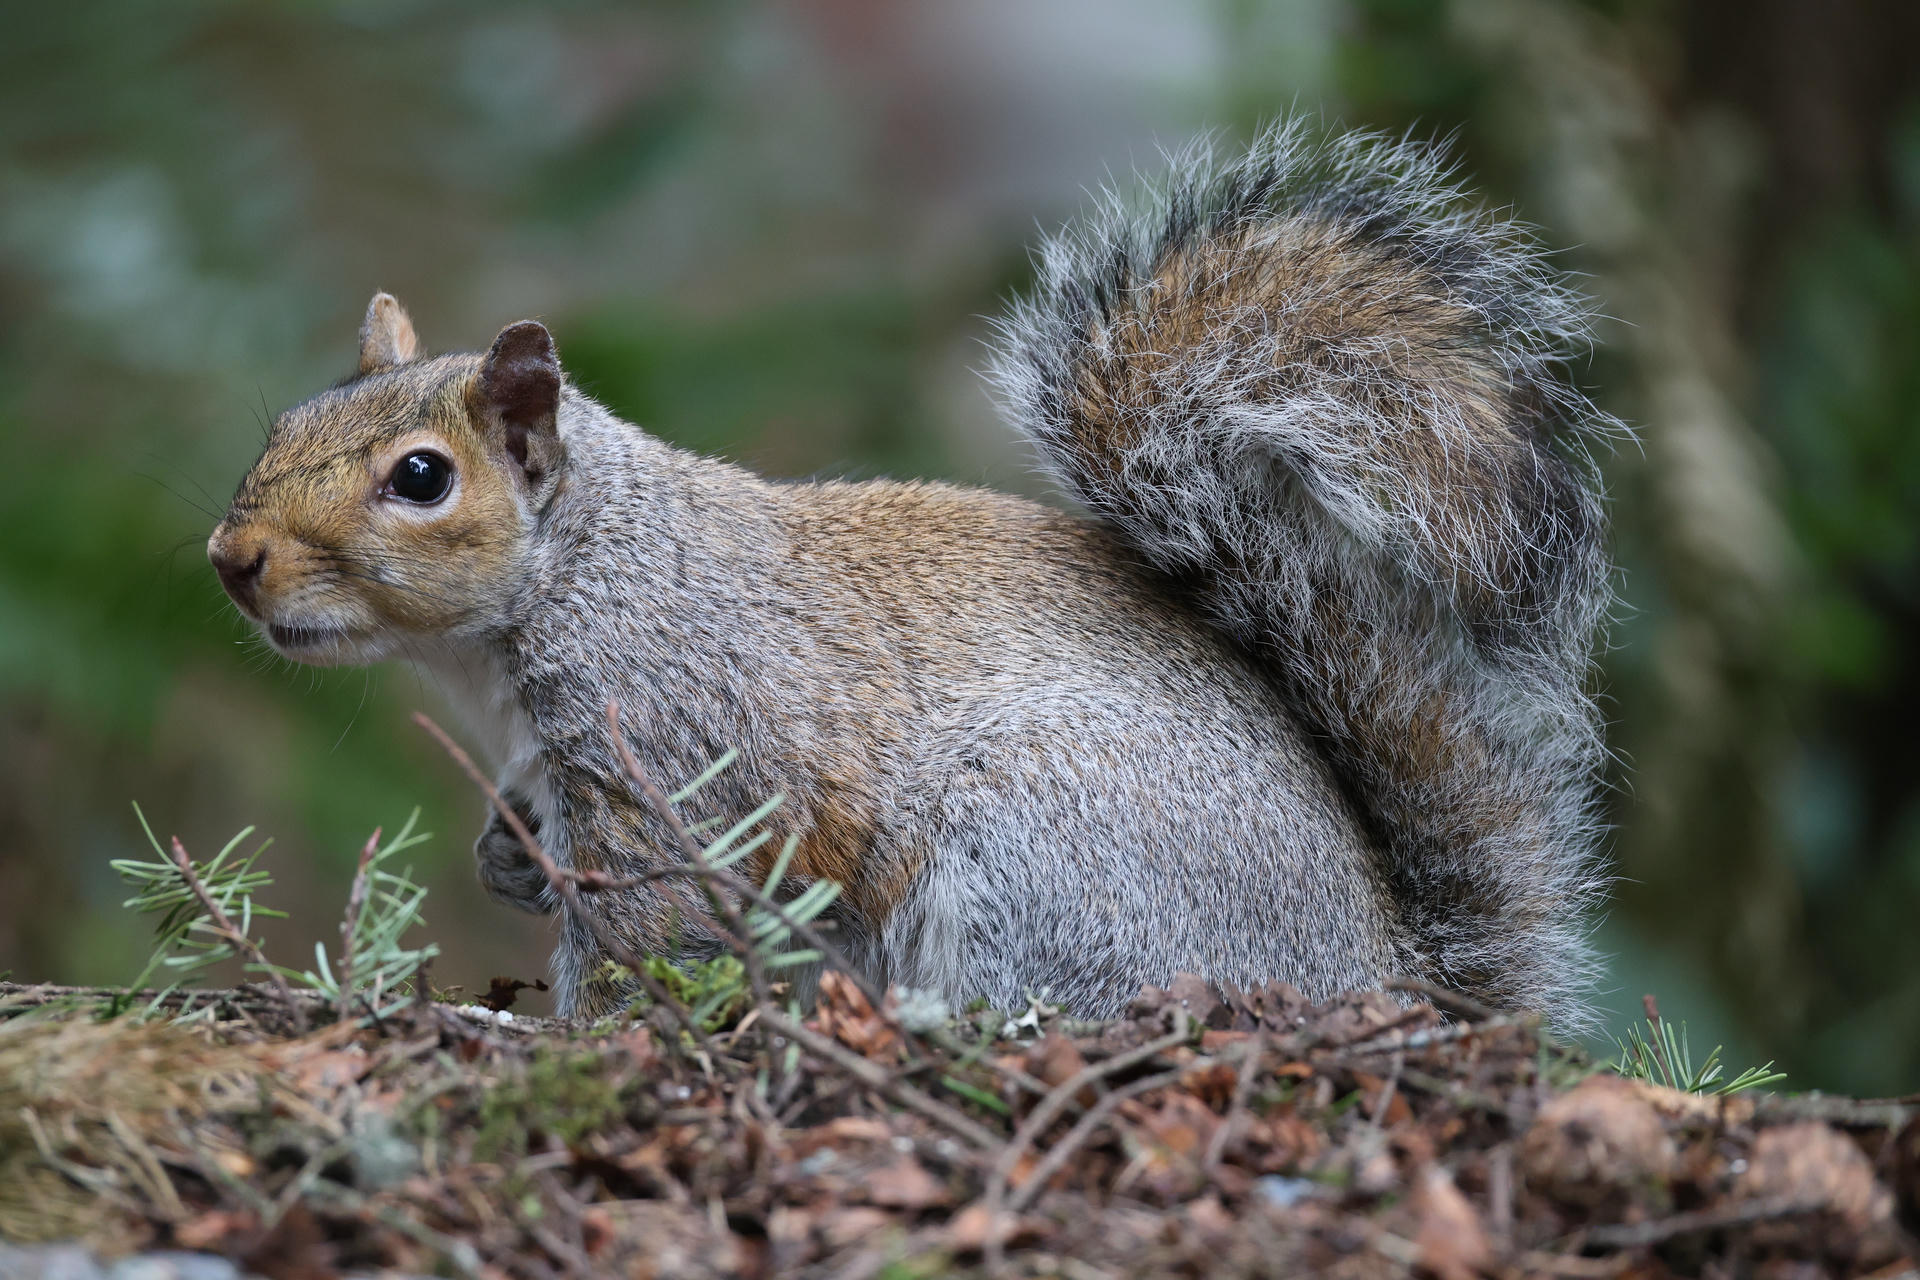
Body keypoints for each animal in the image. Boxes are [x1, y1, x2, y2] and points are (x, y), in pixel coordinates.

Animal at [207, 121, 1615, 1028]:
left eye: (422, 478)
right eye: (283, 423)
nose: (232, 560)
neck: (585, 565)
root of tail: (1388, 982)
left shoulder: (667, 747)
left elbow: (639, 939)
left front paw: (557, 1039)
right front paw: (503, 859)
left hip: (1048, 844)